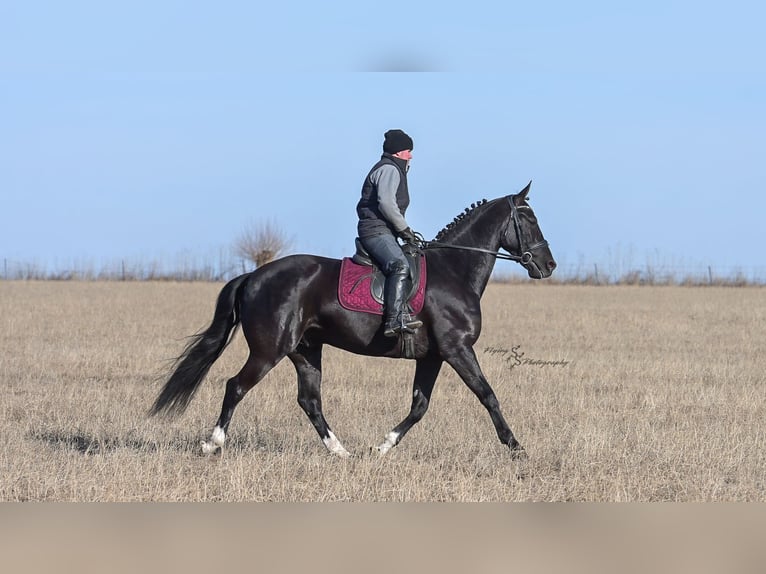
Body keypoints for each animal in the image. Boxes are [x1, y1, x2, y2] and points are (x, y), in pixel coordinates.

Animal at [151, 182, 556, 458]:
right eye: (529, 219)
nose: (548, 265)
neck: (455, 270)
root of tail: (254, 276)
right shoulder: (457, 350)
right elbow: (488, 395)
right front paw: (517, 448)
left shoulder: (433, 356)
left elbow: (419, 406)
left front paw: (382, 447)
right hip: (270, 349)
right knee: (236, 386)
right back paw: (212, 444)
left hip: (305, 350)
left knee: (309, 401)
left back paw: (341, 452)